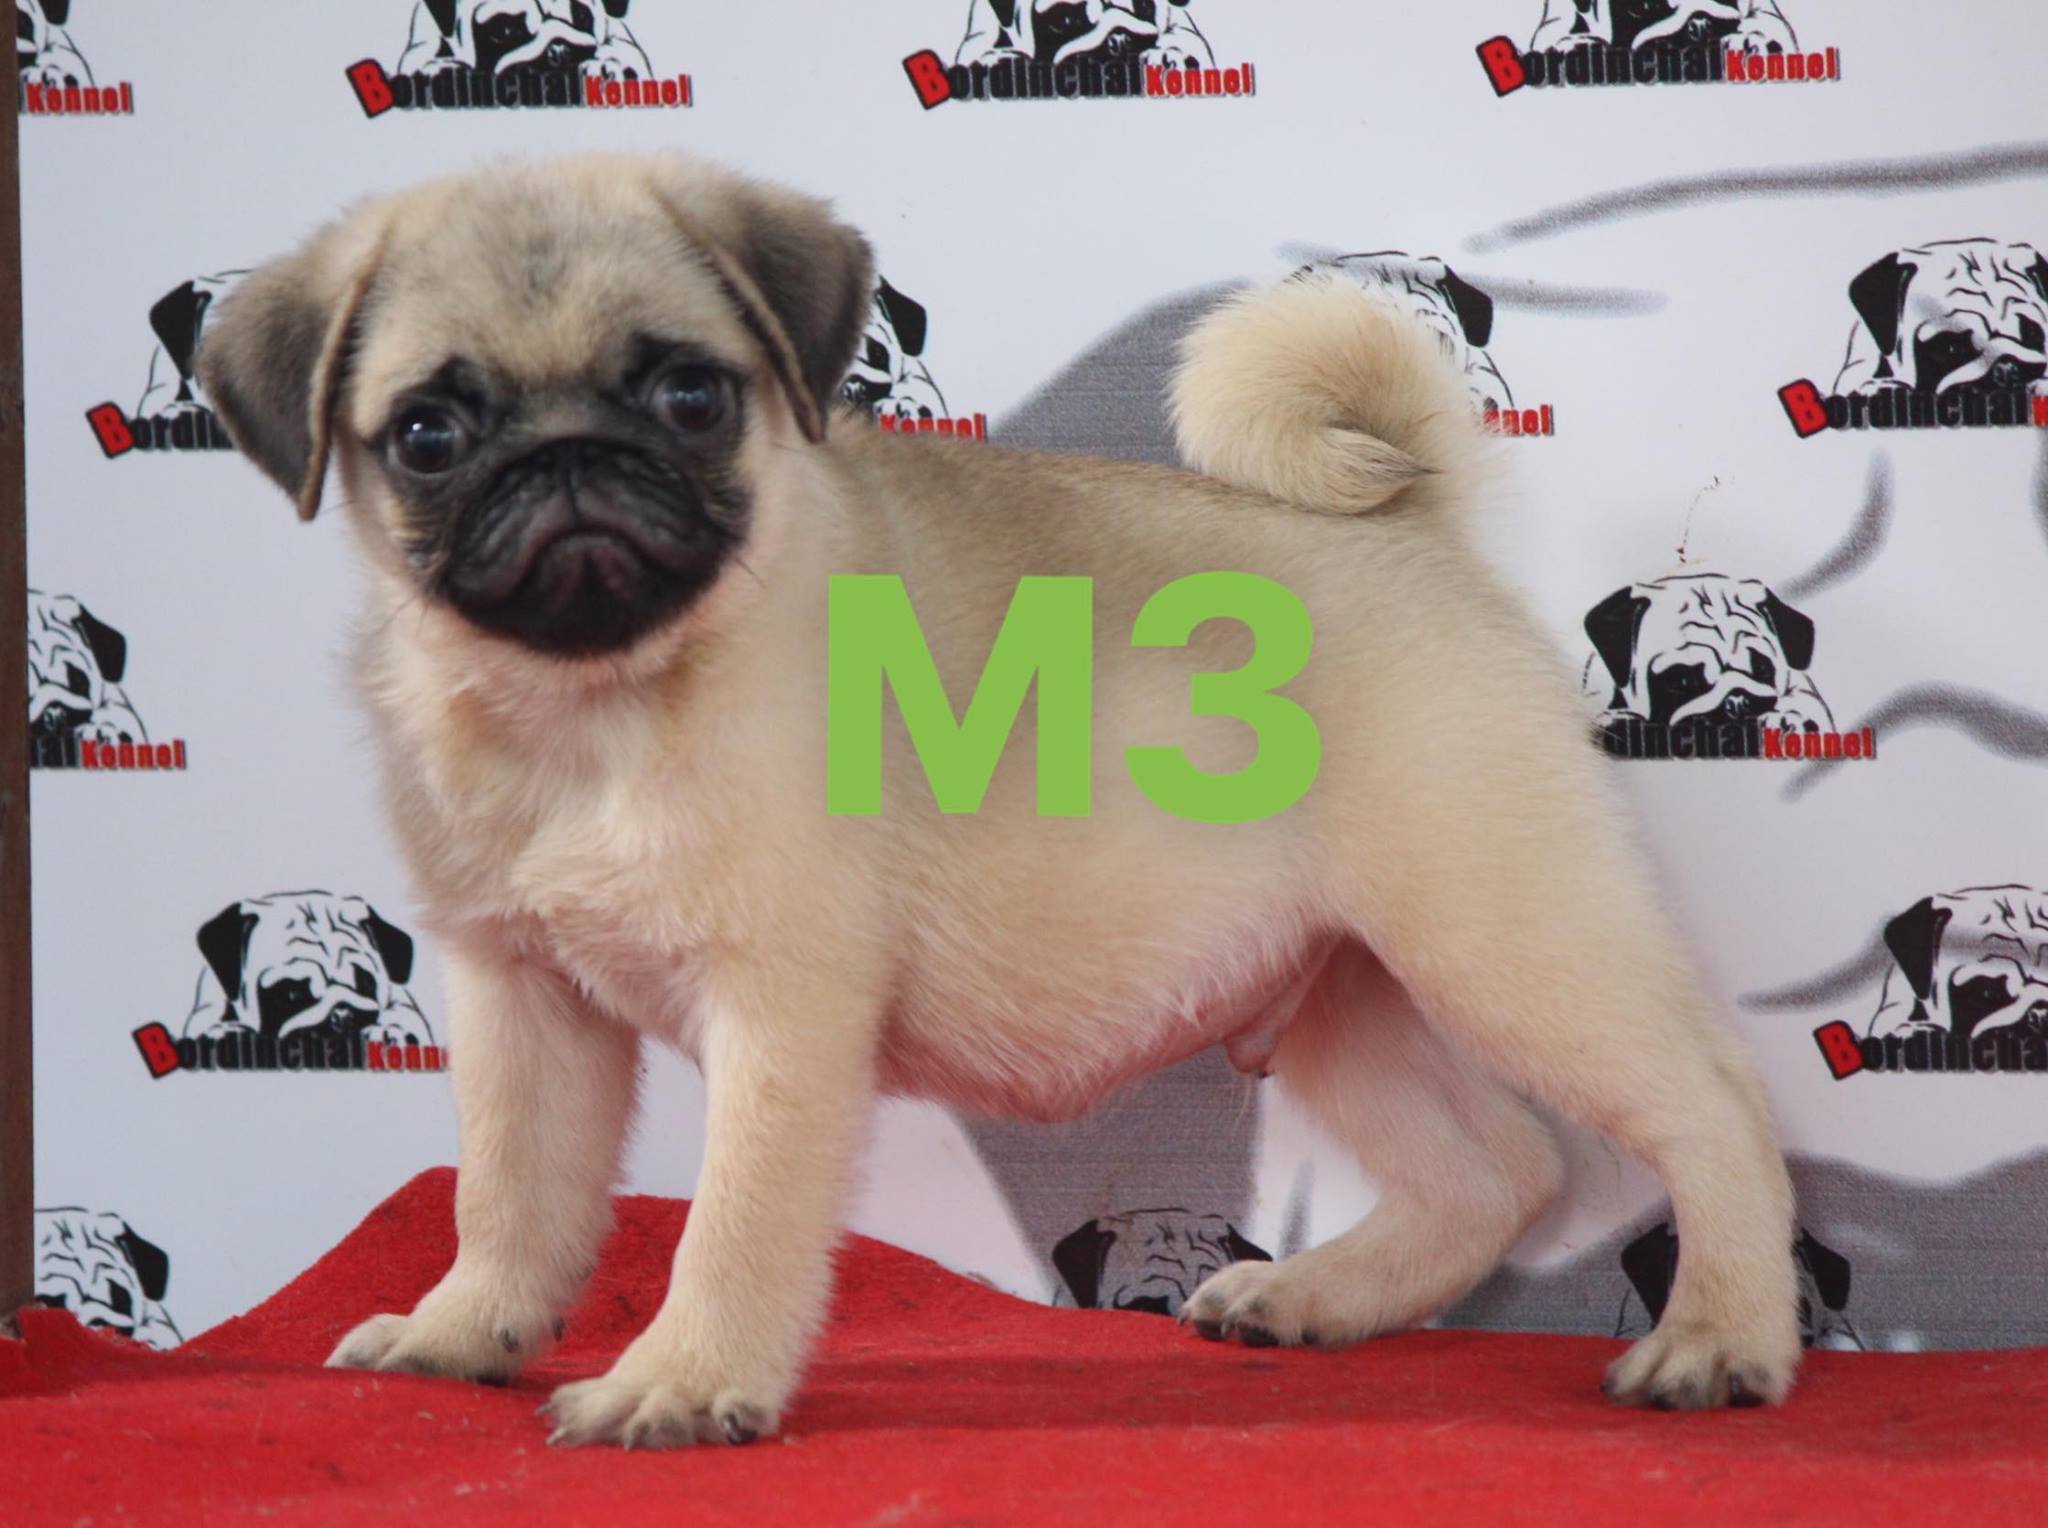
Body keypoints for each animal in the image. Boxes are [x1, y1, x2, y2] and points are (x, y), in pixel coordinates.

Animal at [182, 891, 434, 1062]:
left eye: (365, 984)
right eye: (291, 994)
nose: (342, 1014)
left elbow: (404, 1015)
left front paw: (389, 1033)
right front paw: (227, 1034)